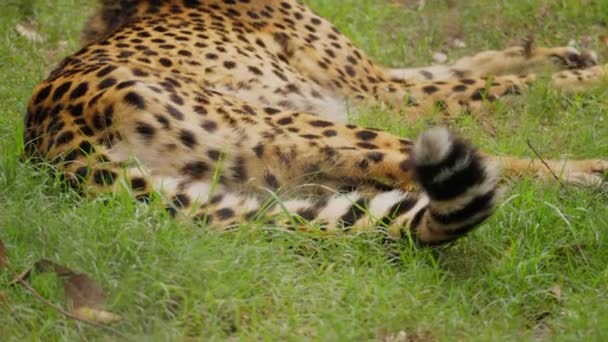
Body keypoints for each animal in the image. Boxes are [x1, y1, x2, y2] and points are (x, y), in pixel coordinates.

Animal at [22, 0, 604, 246]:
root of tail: (47, 144)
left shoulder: (379, 81)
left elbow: (471, 64)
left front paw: (564, 54)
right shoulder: (377, 93)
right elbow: (493, 86)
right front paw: (589, 75)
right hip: (295, 125)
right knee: (435, 164)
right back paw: (587, 172)